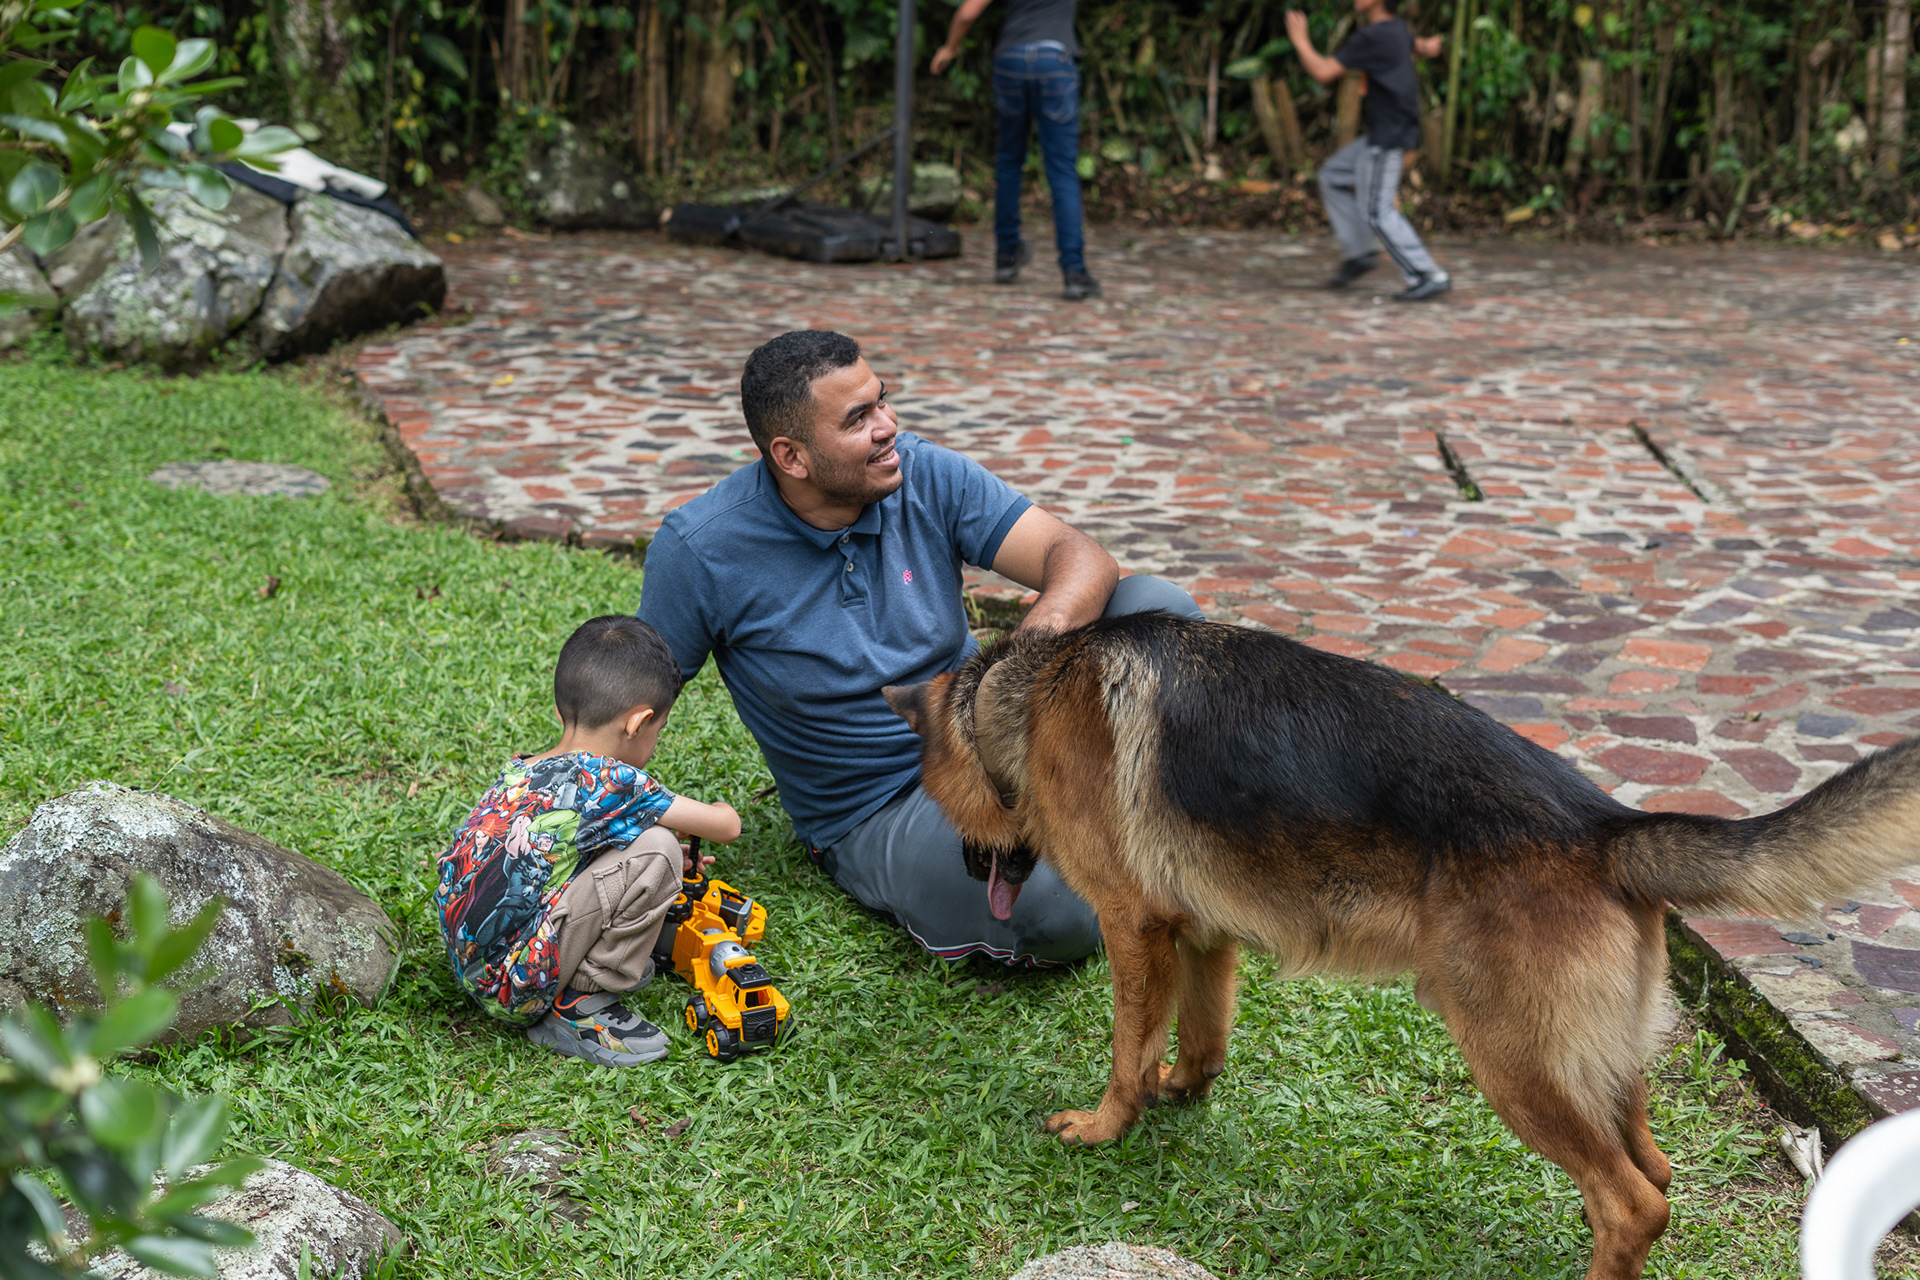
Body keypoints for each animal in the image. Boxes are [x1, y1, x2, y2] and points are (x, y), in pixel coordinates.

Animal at [883, 611, 1920, 1280]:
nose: (969, 866)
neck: (1025, 692)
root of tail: (1603, 826)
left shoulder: (1133, 927)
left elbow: (1127, 1046)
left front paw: (1108, 1125)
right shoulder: (1205, 934)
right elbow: (1202, 1036)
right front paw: (1182, 1091)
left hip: (1512, 1061)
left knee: (1635, 1200)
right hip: (1594, 1062)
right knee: (1652, 1173)